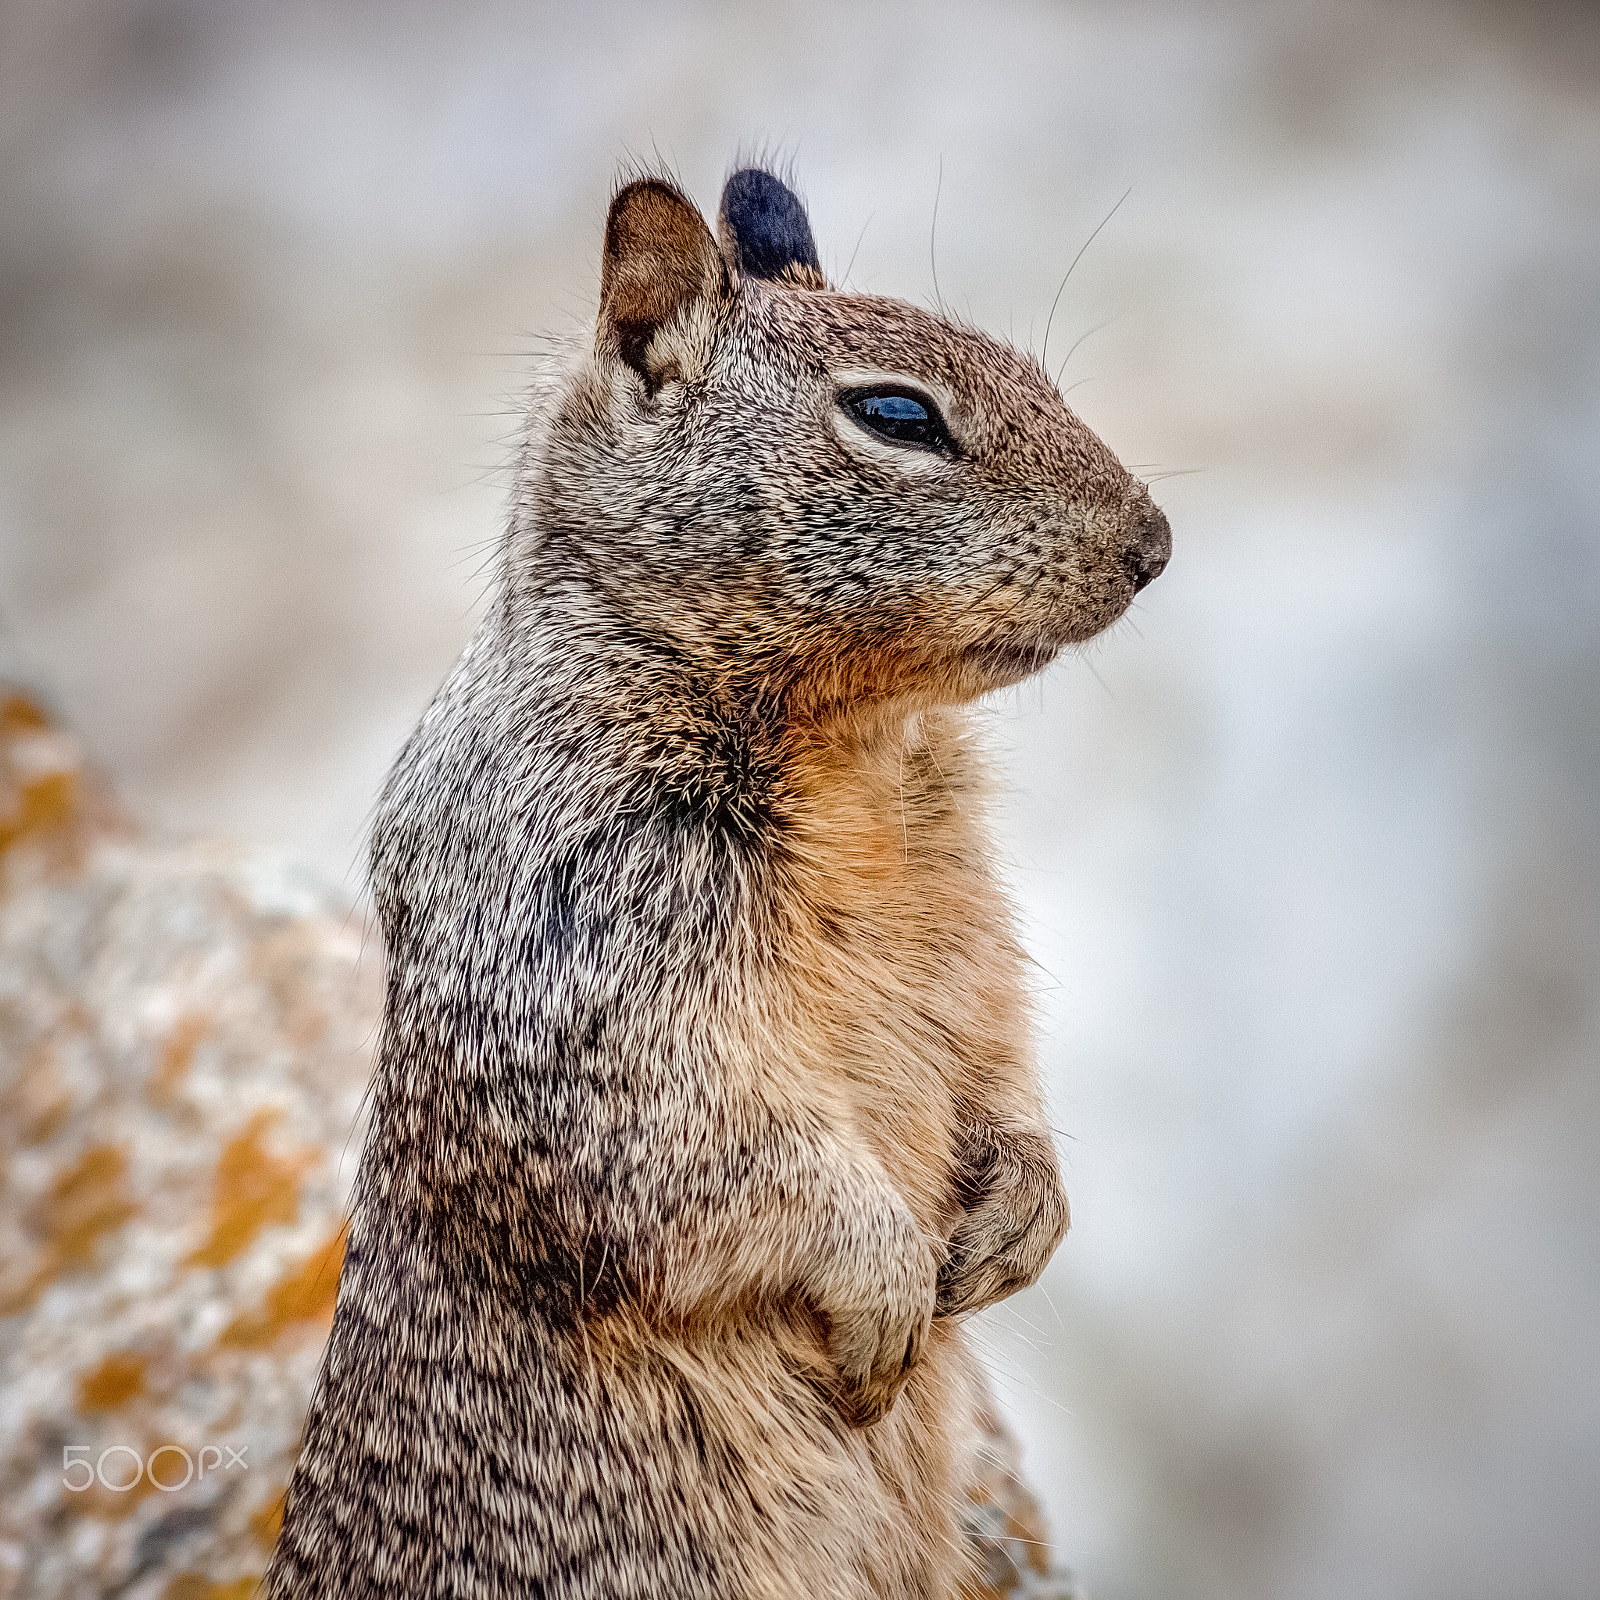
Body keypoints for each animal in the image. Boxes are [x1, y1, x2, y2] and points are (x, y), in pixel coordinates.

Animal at [265, 165, 1170, 1600]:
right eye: (897, 414)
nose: (1158, 541)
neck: (851, 741)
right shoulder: (580, 959)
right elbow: (716, 1146)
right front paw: (886, 1289)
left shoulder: (971, 917)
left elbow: (999, 1057)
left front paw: (1025, 1216)